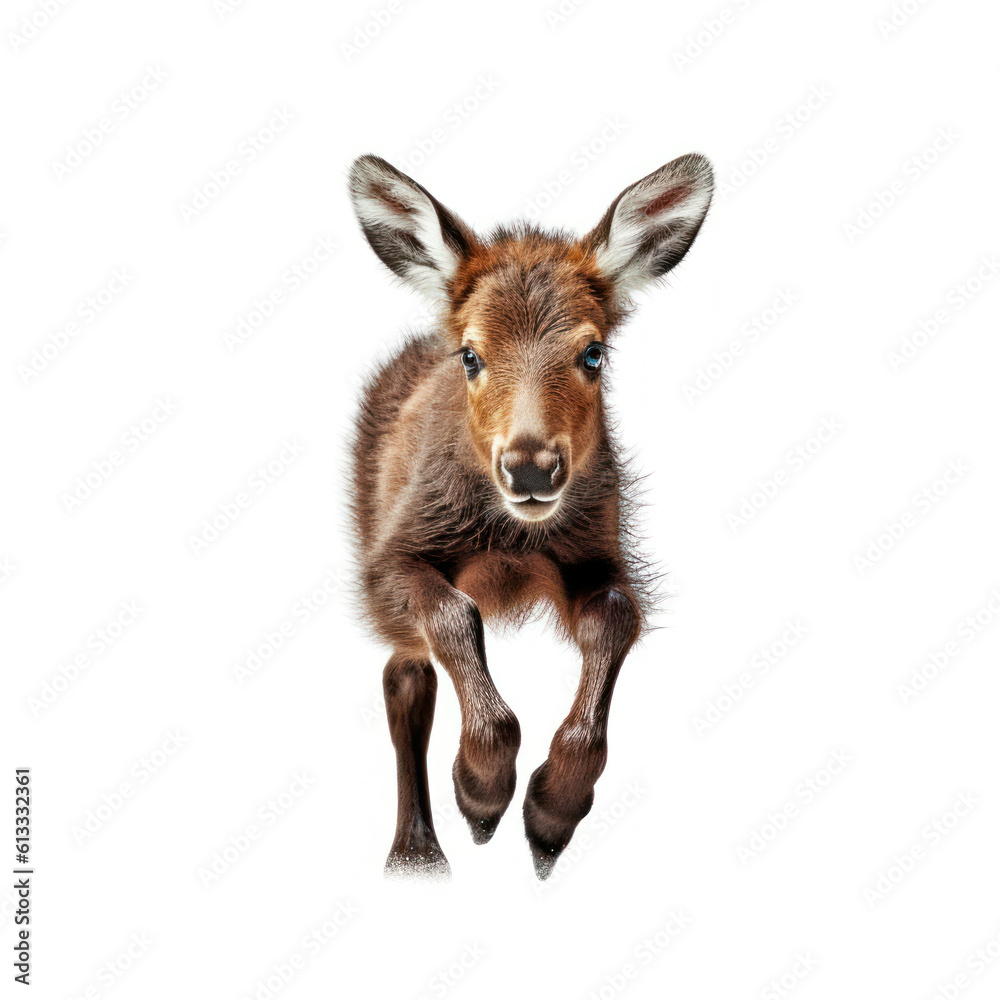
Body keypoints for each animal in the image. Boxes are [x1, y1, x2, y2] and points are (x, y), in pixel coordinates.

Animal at [347, 151, 714, 880]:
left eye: (593, 353)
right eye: (471, 355)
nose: (531, 469)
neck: (511, 540)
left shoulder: (598, 551)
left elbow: (616, 620)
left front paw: (550, 814)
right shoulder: (391, 556)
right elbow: (453, 616)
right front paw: (481, 792)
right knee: (406, 674)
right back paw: (416, 853)